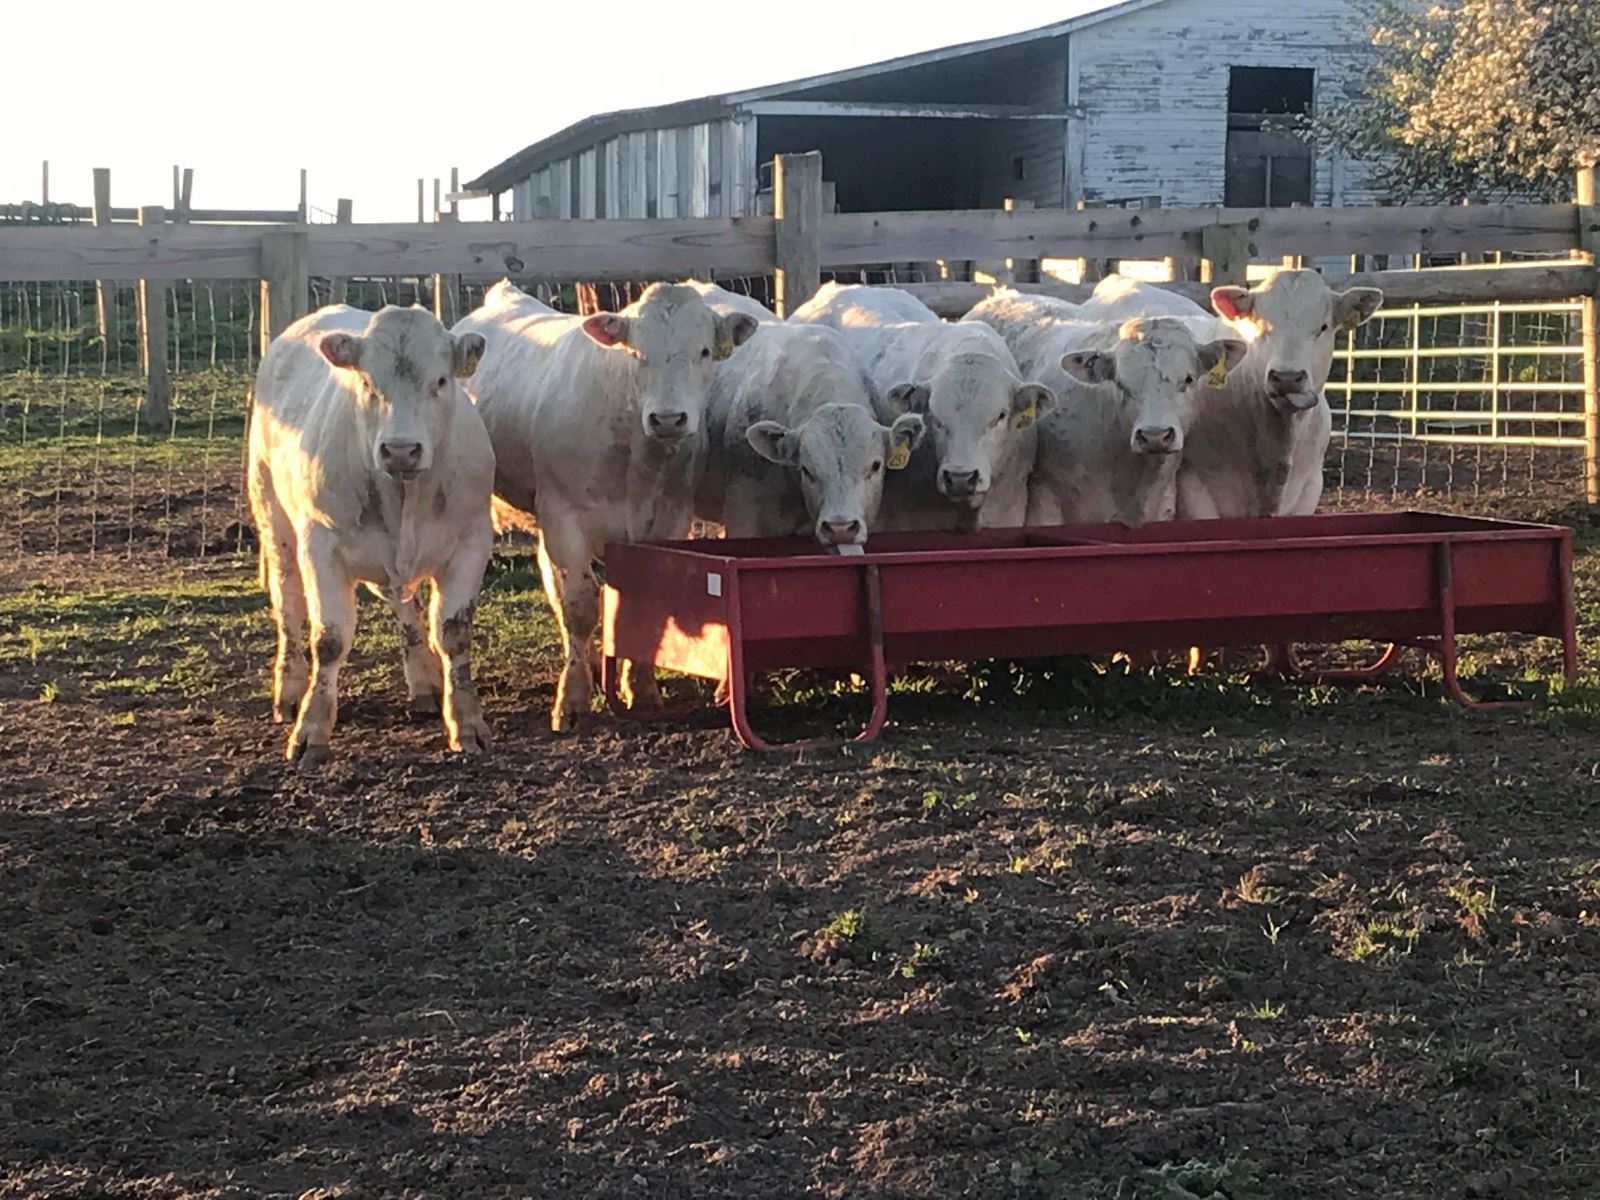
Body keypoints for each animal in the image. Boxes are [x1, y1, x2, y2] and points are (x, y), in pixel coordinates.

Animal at [248, 304, 494, 767]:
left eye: (440, 380)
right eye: (366, 382)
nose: (400, 450)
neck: (404, 498)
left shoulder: (472, 541)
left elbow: (452, 633)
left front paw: (466, 722)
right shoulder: (319, 546)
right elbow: (329, 639)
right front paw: (311, 729)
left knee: (405, 609)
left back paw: (423, 681)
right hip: (273, 517)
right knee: (288, 607)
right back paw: (289, 688)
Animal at [454, 279, 759, 732]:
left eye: (704, 350)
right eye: (636, 351)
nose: (668, 419)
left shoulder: (669, 519)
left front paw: (642, 688)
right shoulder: (564, 517)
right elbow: (580, 606)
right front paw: (572, 700)